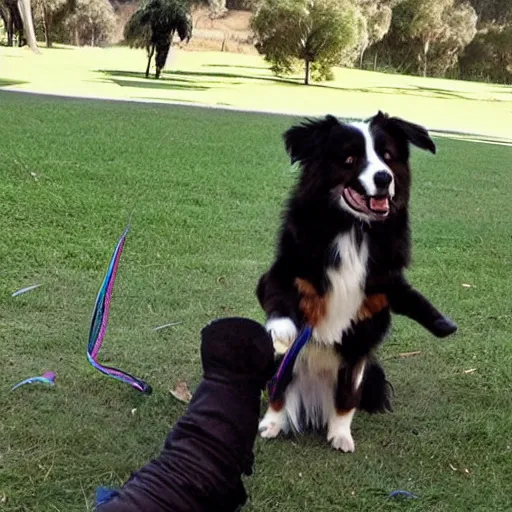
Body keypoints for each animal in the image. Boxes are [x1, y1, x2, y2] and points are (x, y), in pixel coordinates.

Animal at [256, 112, 456, 452]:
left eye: (387, 156)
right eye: (350, 159)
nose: (384, 178)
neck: (354, 230)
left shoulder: (374, 308)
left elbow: (348, 395)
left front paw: (340, 435)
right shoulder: (281, 273)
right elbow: (280, 296)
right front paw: (282, 329)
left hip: (372, 371)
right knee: (278, 387)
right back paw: (272, 423)